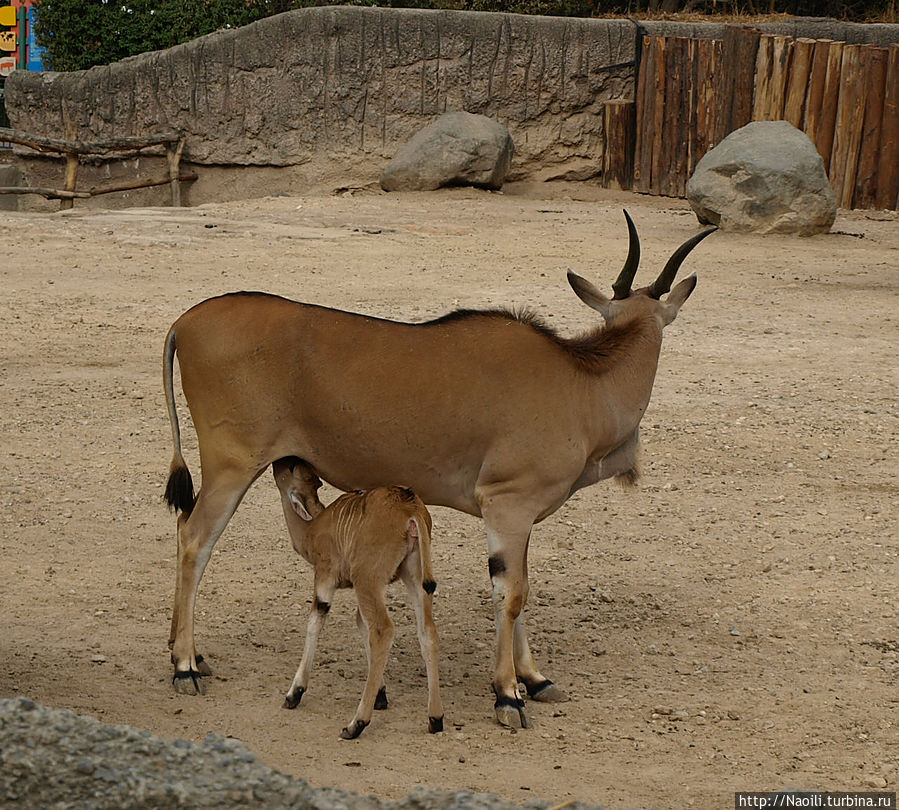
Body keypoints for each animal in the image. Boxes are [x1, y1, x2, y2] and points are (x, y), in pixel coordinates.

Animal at [272, 458, 444, 736]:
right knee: (427, 631)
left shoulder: (325, 578)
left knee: (383, 630)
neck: (314, 527)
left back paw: (357, 723)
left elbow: (315, 621)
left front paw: (294, 693)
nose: (282, 461)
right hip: (413, 579)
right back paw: (435, 718)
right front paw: (381, 695)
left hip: (367, 579)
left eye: (291, 470)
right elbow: (361, 625)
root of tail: (410, 509)